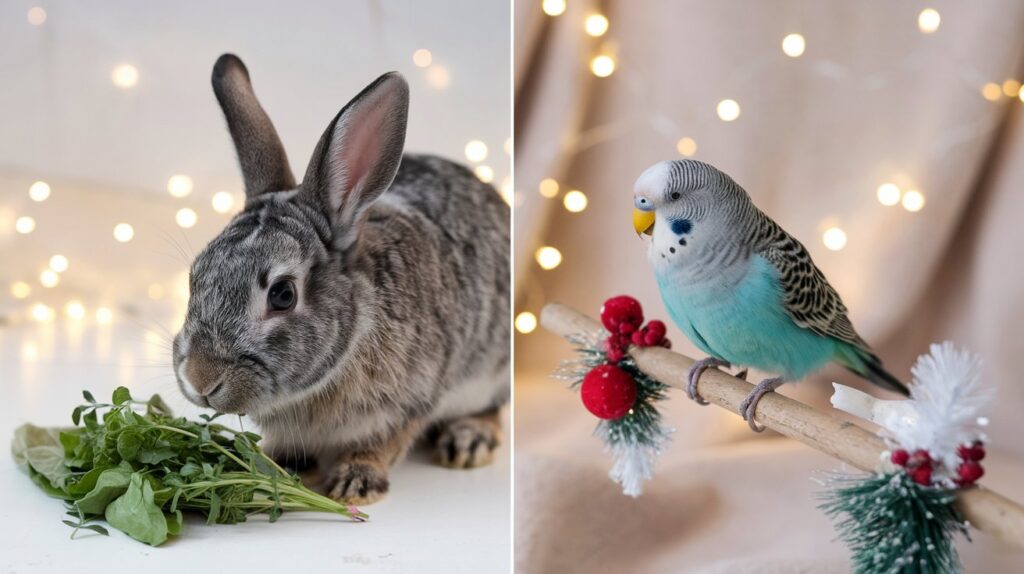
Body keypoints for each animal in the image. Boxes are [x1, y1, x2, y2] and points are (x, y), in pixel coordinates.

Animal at [176, 52, 516, 501]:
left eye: (283, 294)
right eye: (195, 276)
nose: (201, 379)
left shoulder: (410, 402)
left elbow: (382, 443)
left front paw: (354, 484)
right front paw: (279, 465)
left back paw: (468, 440)